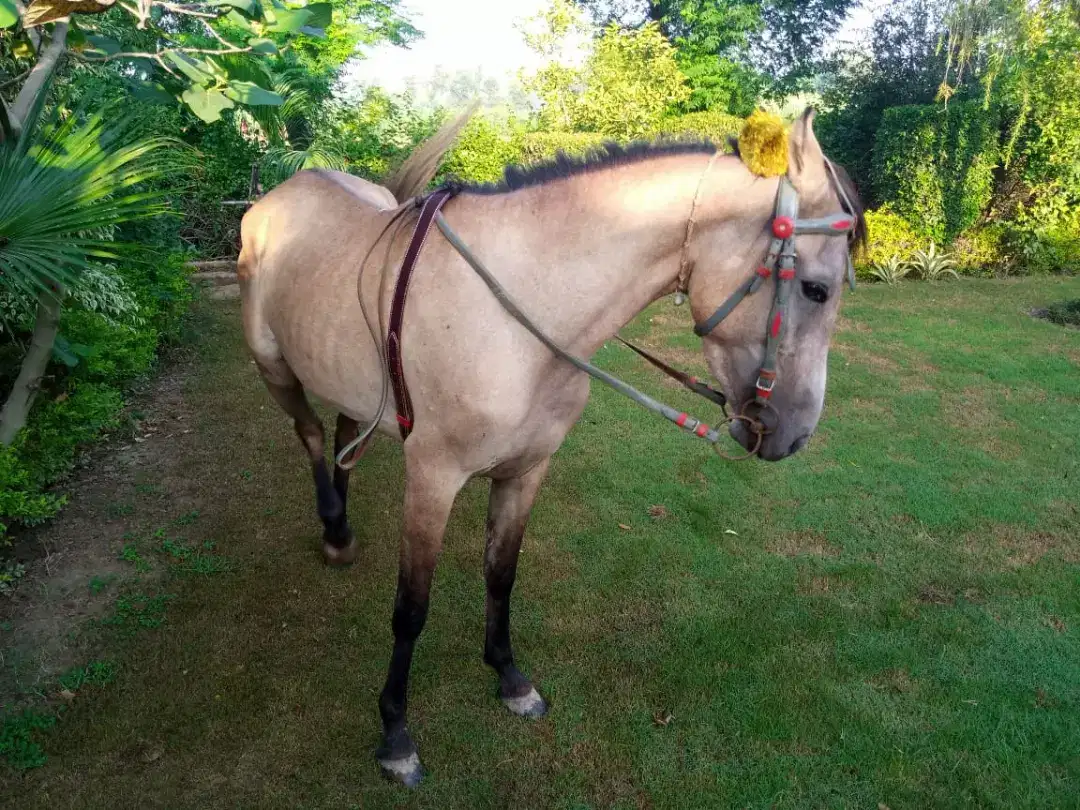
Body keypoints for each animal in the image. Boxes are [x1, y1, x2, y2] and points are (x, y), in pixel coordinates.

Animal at [237, 107, 865, 786]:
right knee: (310, 434)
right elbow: (412, 608)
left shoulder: (527, 470)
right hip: (273, 366)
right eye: (816, 289)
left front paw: (510, 678)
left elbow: (501, 573)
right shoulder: (432, 478)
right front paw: (395, 732)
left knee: (345, 434)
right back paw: (332, 529)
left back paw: (343, 532)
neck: (517, 320)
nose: (794, 433)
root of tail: (283, 191)